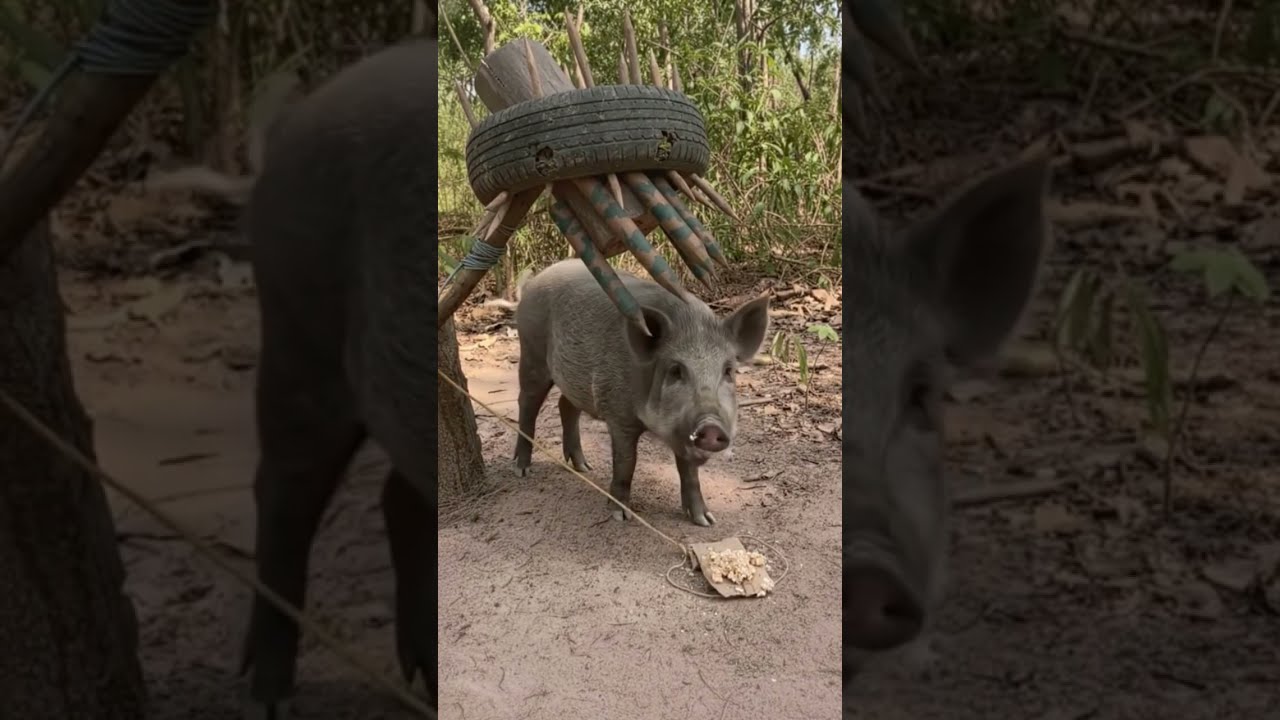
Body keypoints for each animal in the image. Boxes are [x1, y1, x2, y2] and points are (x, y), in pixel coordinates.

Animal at [509, 259, 770, 527]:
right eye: (675, 370)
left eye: (728, 371)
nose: (710, 426)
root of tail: (534, 281)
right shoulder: (618, 413)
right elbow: (626, 463)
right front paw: (620, 516)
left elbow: (688, 472)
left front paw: (706, 520)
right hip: (531, 351)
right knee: (527, 404)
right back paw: (522, 470)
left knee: (566, 405)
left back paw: (584, 467)